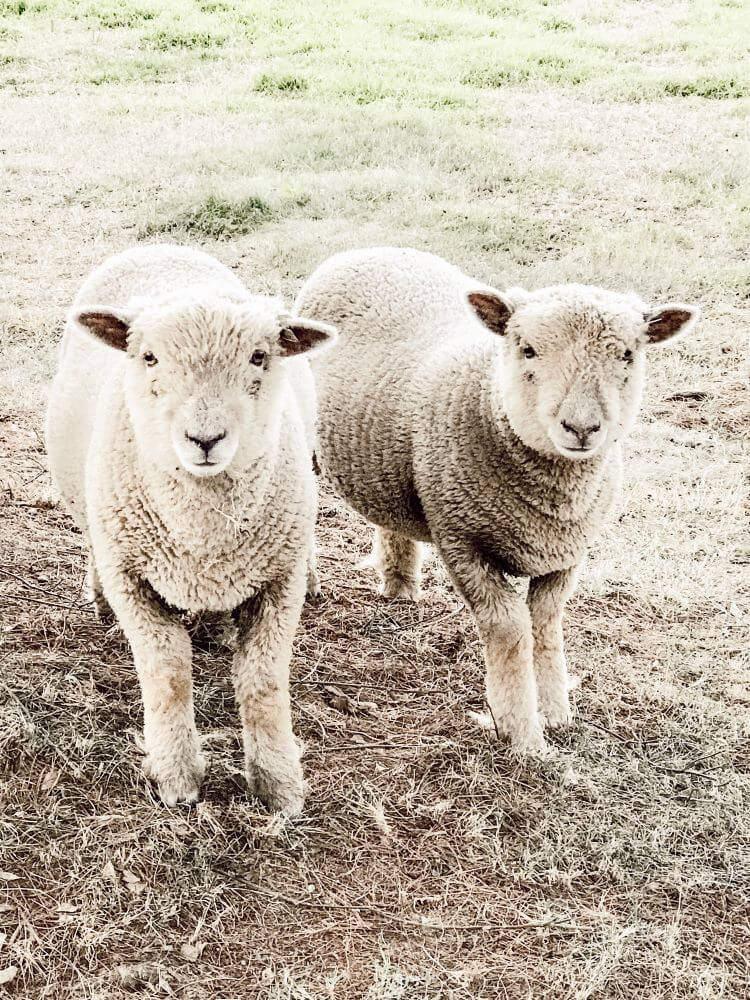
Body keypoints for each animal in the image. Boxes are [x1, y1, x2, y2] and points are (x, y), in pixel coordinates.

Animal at [47, 244, 338, 812]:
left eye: (258, 357)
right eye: (149, 358)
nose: (205, 439)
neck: (203, 537)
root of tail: (159, 246)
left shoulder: (279, 580)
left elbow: (264, 681)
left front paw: (278, 783)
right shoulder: (131, 578)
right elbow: (166, 674)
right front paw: (176, 775)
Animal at [296, 246, 704, 752]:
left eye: (628, 354)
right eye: (527, 349)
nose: (582, 427)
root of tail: (367, 249)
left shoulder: (565, 554)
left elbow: (546, 624)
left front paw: (556, 714)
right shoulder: (463, 541)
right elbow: (510, 629)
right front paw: (522, 734)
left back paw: (400, 587)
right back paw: (309, 583)